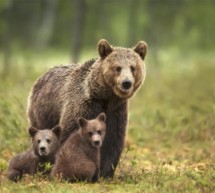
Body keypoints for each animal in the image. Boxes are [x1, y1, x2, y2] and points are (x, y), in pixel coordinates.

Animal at [27, 39, 147, 178]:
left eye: (133, 67)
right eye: (117, 67)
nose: (126, 83)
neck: (105, 97)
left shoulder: (116, 111)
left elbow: (113, 141)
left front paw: (105, 172)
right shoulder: (84, 107)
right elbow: (68, 135)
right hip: (43, 112)